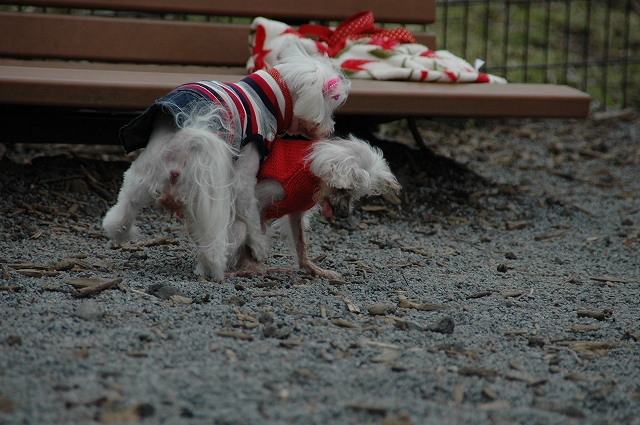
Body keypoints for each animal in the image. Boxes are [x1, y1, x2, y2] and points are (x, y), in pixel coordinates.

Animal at [102, 42, 350, 282]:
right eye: (329, 109)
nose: (331, 130)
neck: (270, 98)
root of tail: (184, 140)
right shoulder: (246, 168)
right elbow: (250, 210)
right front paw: (260, 246)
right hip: (208, 190)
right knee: (214, 232)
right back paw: (216, 264)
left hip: (150, 166)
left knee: (130, 193)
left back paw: (118, 227)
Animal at [228, 135, 400, 278]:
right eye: (342, 189)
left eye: (355, 195)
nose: (344, 214)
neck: (311, 177)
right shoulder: (254, 202)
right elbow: (253, 235)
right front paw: (251, 267)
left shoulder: (295, 213)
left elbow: (300, 244)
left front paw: (313, 269)